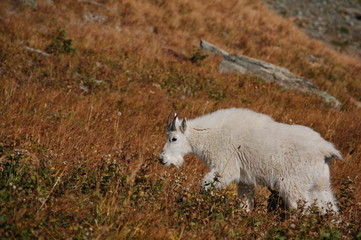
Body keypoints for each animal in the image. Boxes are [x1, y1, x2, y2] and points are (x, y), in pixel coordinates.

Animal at [159, 108, 342, 213]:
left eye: (174, 138)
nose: (162, 159)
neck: (209, 134)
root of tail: (325, 151)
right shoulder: (244, 179)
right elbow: (245, 201)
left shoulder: (227, 166)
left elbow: (206, 185)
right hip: (320, 185)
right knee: (331, 210)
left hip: (293, 184)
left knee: (303, 210)